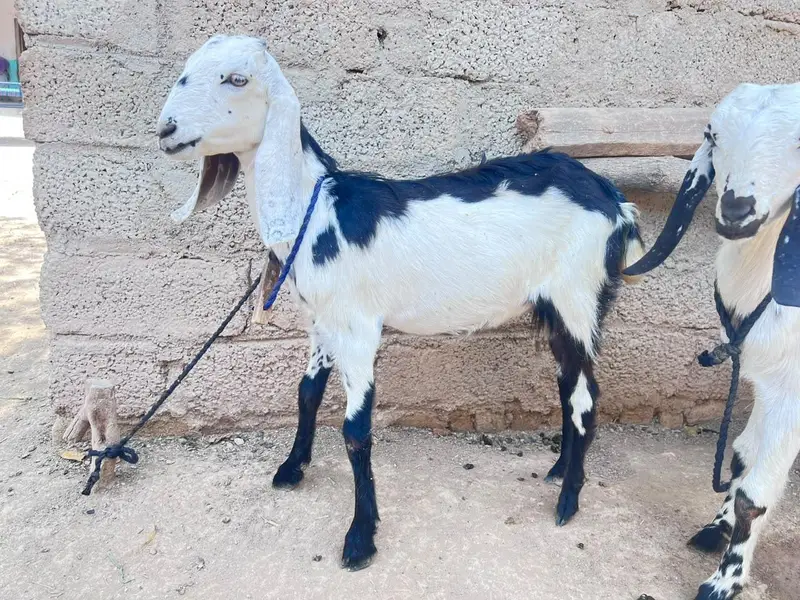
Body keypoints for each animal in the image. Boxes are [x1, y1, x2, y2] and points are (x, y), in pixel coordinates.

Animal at [156, 35, 645, 570]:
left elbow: (355, 430)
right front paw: (292, 468)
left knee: (585, 396)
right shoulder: (321, 321)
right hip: (557, 307)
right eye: (185, 72)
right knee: (568, 386)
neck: (317, 209)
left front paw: (360, 537)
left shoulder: (357, 328)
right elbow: (307, 393)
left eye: (237, 79)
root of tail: (613, 200)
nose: (166, 130)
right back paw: (559, 469)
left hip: (579, 295)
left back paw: (568, 500)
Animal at [625, 83, 800, 600]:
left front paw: (726, 580)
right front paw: (715, 527)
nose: (736, 210)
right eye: (712, 134)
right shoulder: (764, 379)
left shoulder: (794, 392)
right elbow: (742, 458)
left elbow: (756, 493)